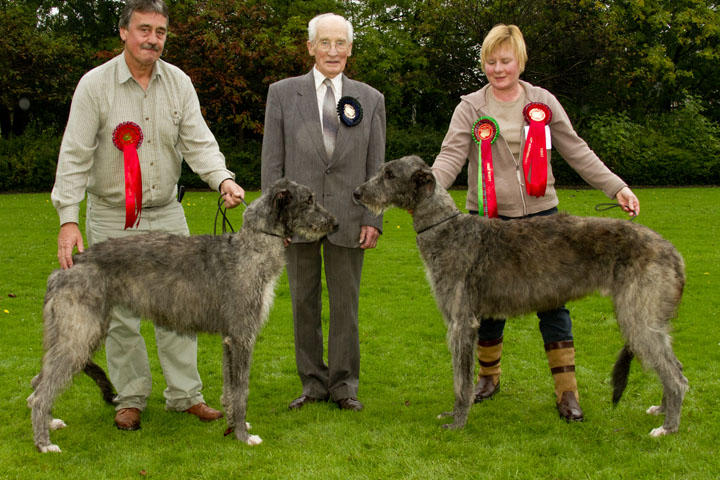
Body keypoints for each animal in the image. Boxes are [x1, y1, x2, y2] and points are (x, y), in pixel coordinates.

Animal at [29, 178, 338, 452]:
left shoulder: (229, 339)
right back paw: (44, 443)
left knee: (37, 383)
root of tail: (66, 266)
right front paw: (242, 435)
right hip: (79, 335)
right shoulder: (241, 337)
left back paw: (50, 423)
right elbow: (241, 391)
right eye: (309, 199)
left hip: (76, 333)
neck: (252, 248)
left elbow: (230, 389)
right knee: (40, 393)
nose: (335, 224)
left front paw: (233, 425)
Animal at [352, 156, 688, 436]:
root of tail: (672, 252)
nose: (356, 193)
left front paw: (458, 422)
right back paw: (662, 410)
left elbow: (462, 380)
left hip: (638, 316)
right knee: (674, 366)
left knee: (675, 375)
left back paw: (668, 427)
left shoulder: (461, 323)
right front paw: (454, 414)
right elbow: (462, 376)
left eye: (389, 174)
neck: (447, 228)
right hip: (647, 317)